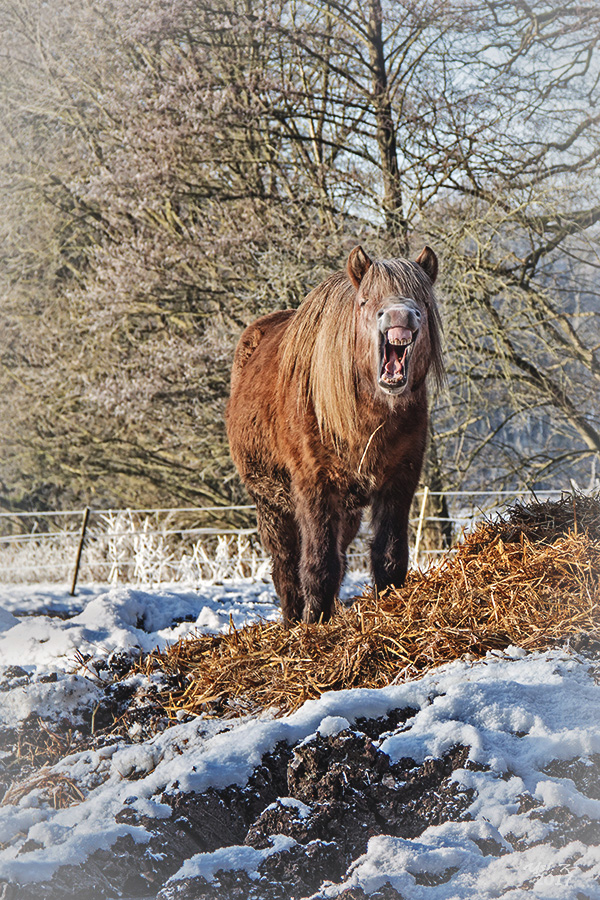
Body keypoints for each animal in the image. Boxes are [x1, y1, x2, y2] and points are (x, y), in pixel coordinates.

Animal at [225, 246, 440, 624]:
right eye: (366, 300)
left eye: (422, 303)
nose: (402, 316)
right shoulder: (315, 485)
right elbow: (318, 564)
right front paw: (316, 621)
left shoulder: (399, 481)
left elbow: (388, 557)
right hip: (270, 503)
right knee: (285, 563)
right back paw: (294, 619)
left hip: (347, 510)